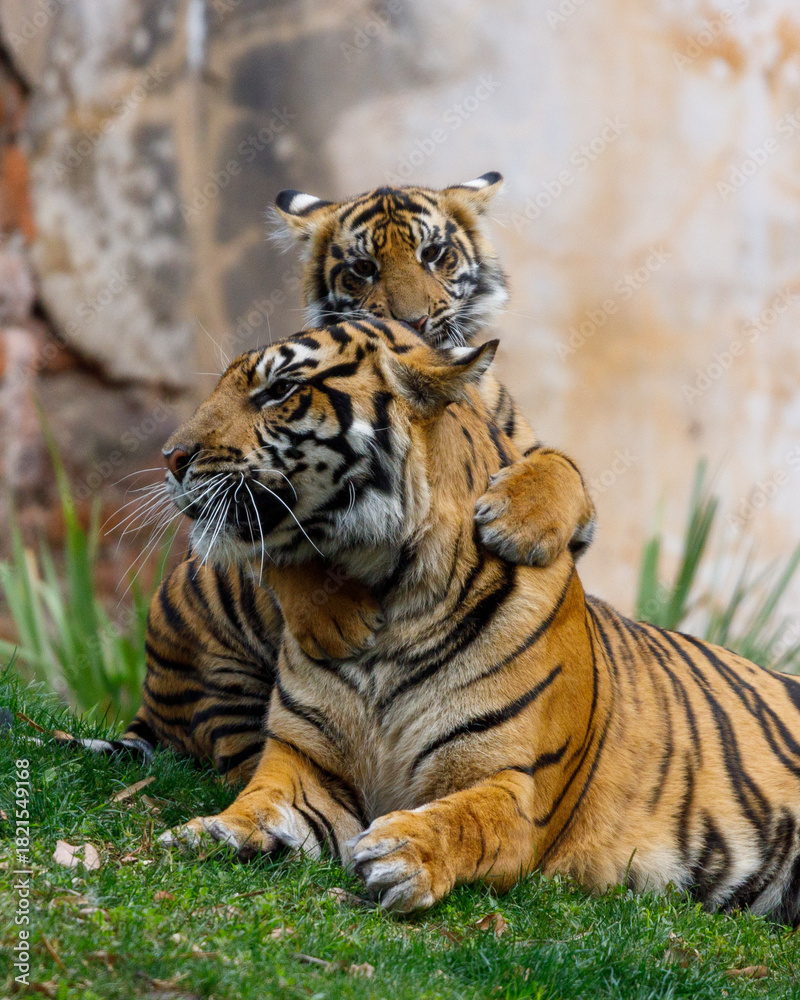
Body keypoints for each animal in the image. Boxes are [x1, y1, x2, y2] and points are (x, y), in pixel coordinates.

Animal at [87, 172, 596, 778]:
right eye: (362, 268)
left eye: (435, 255)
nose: (411, 322)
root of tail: (148, 699)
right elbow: (276, 544)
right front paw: (334, 617)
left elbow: (562, 469)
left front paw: (522, 524)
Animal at [157, 317, 800, 924]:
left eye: (281, 390)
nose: (171, 459)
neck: (388, 591)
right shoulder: (305, 761)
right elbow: (262, 799)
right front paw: (211, 831)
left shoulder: (516, 784)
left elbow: (467, 820)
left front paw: (405, 852)